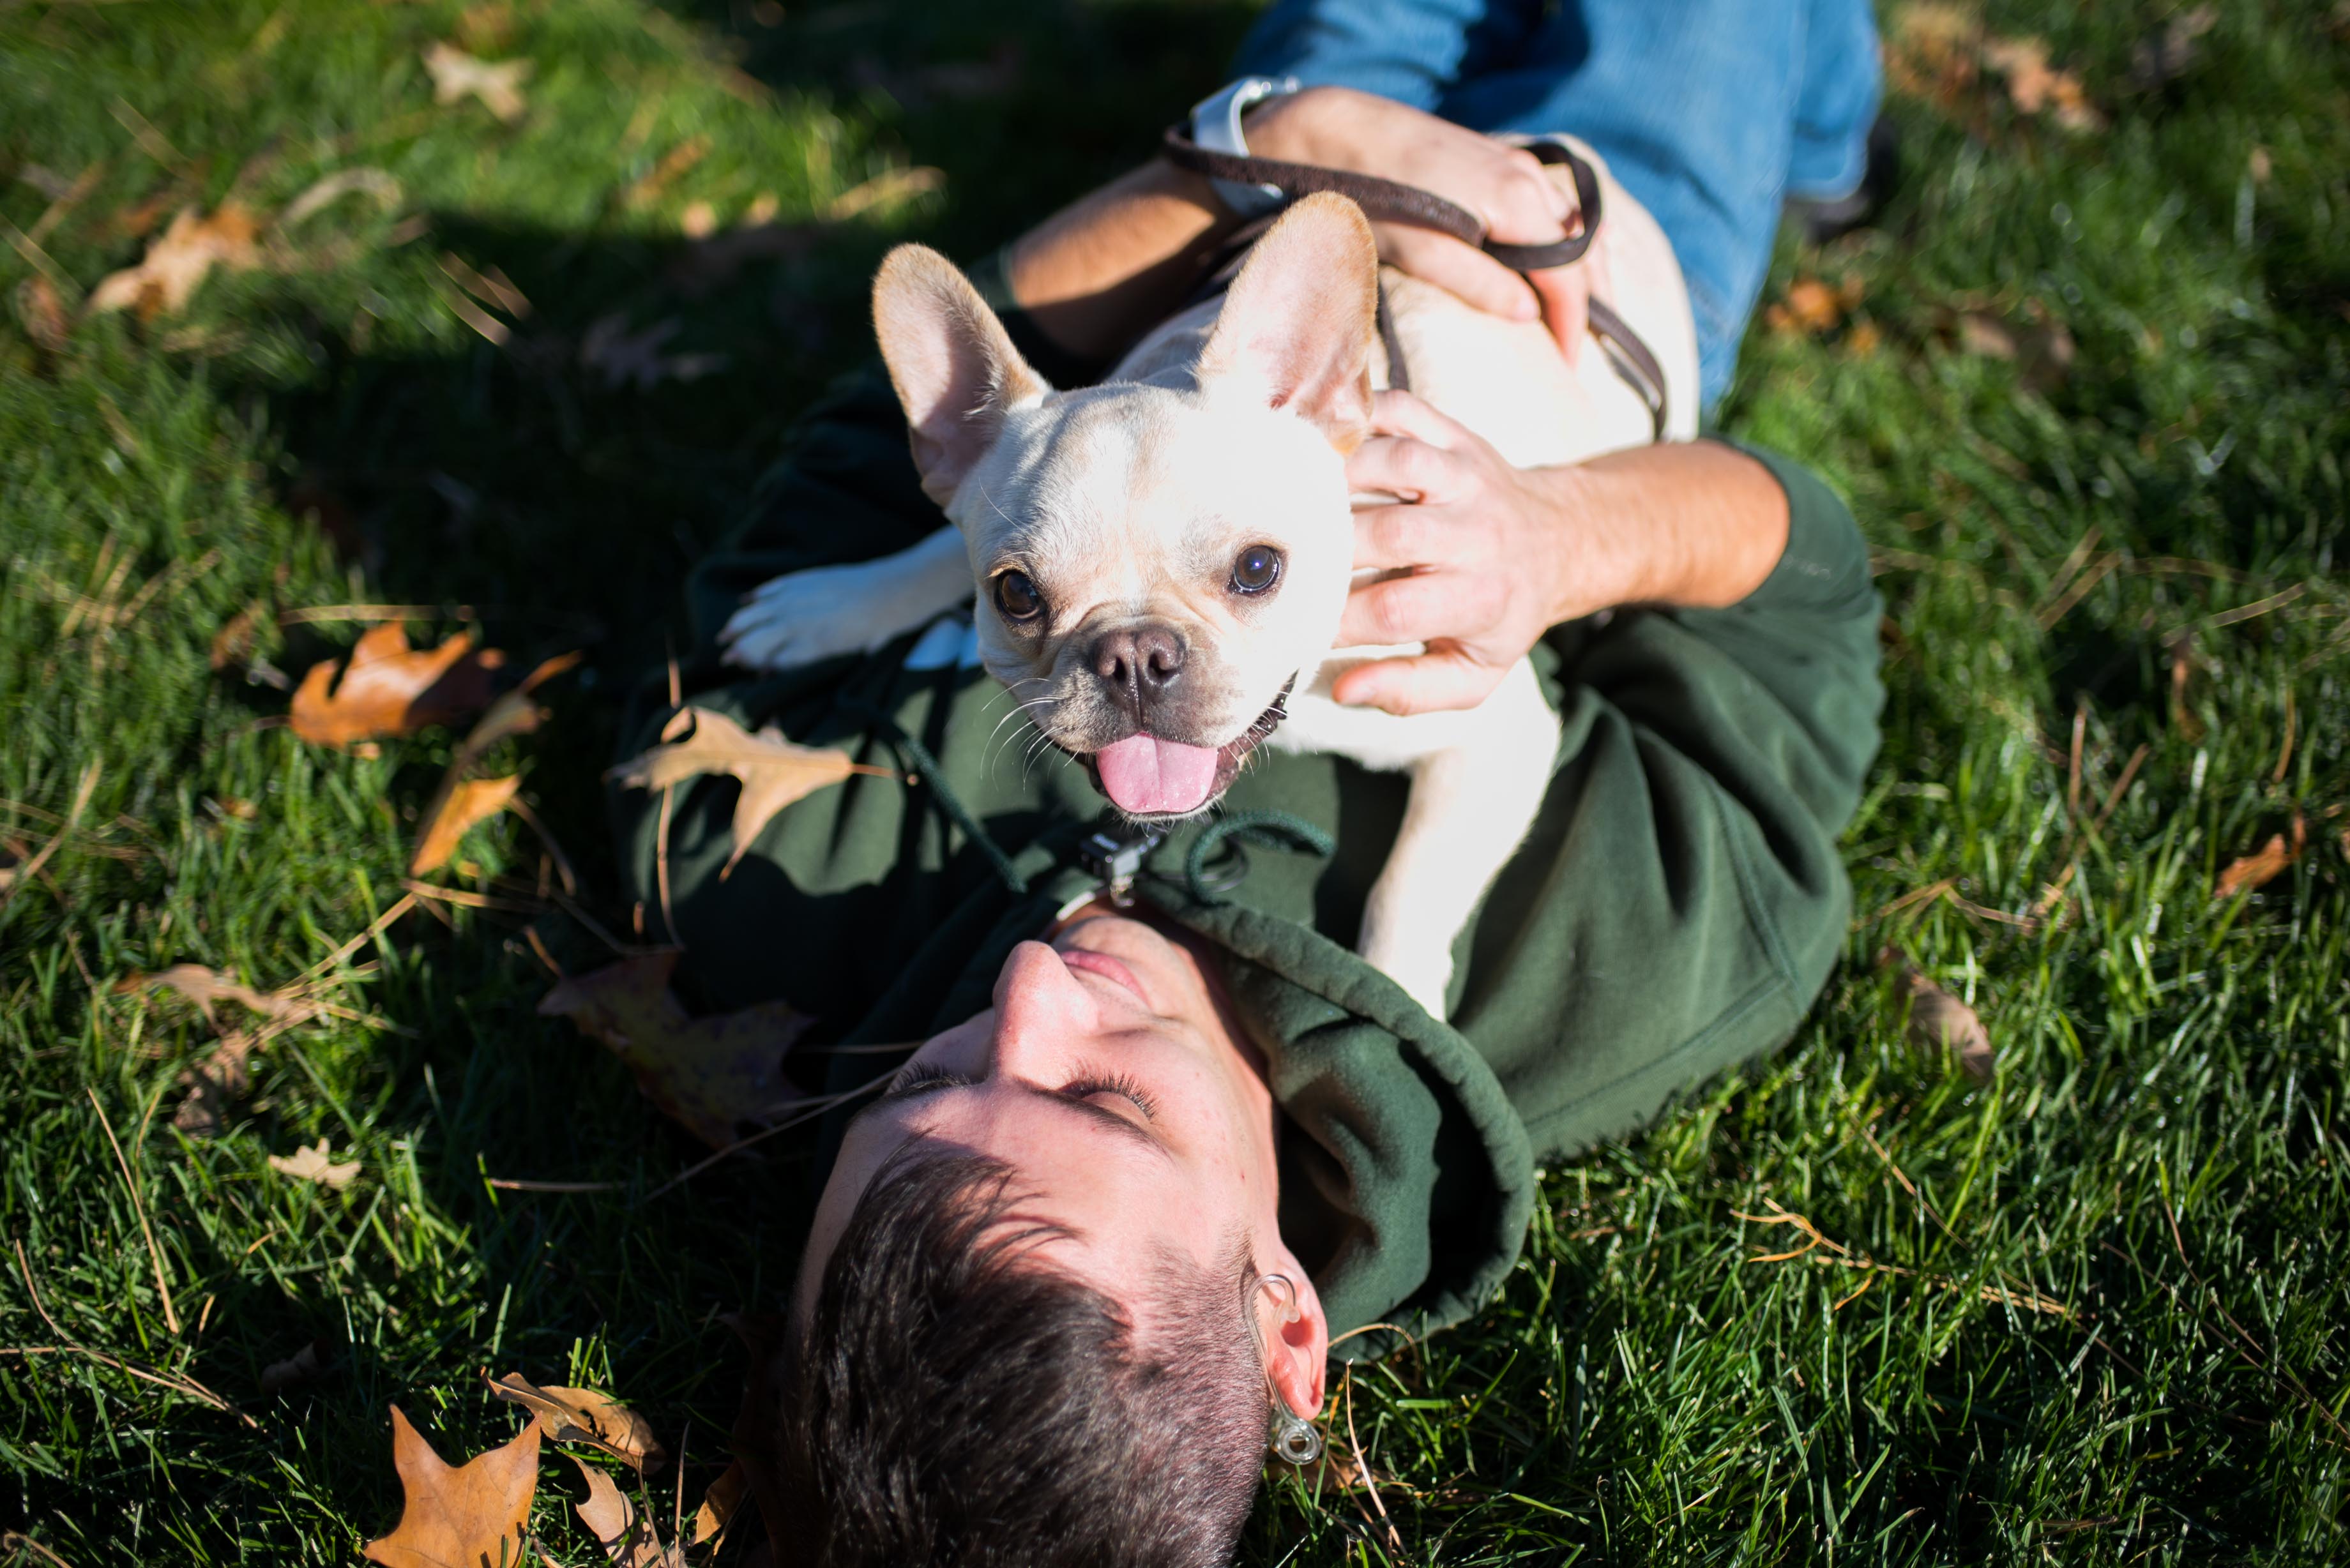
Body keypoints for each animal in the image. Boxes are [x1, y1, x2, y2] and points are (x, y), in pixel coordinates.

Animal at [714, 150, 1692, 1020]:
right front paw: (832, 605)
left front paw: (1399, 1003)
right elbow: (926, 548)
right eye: (1016, 594)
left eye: (1258, 569)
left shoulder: (1494, 736)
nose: (1134, 655)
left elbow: (1408, 888)